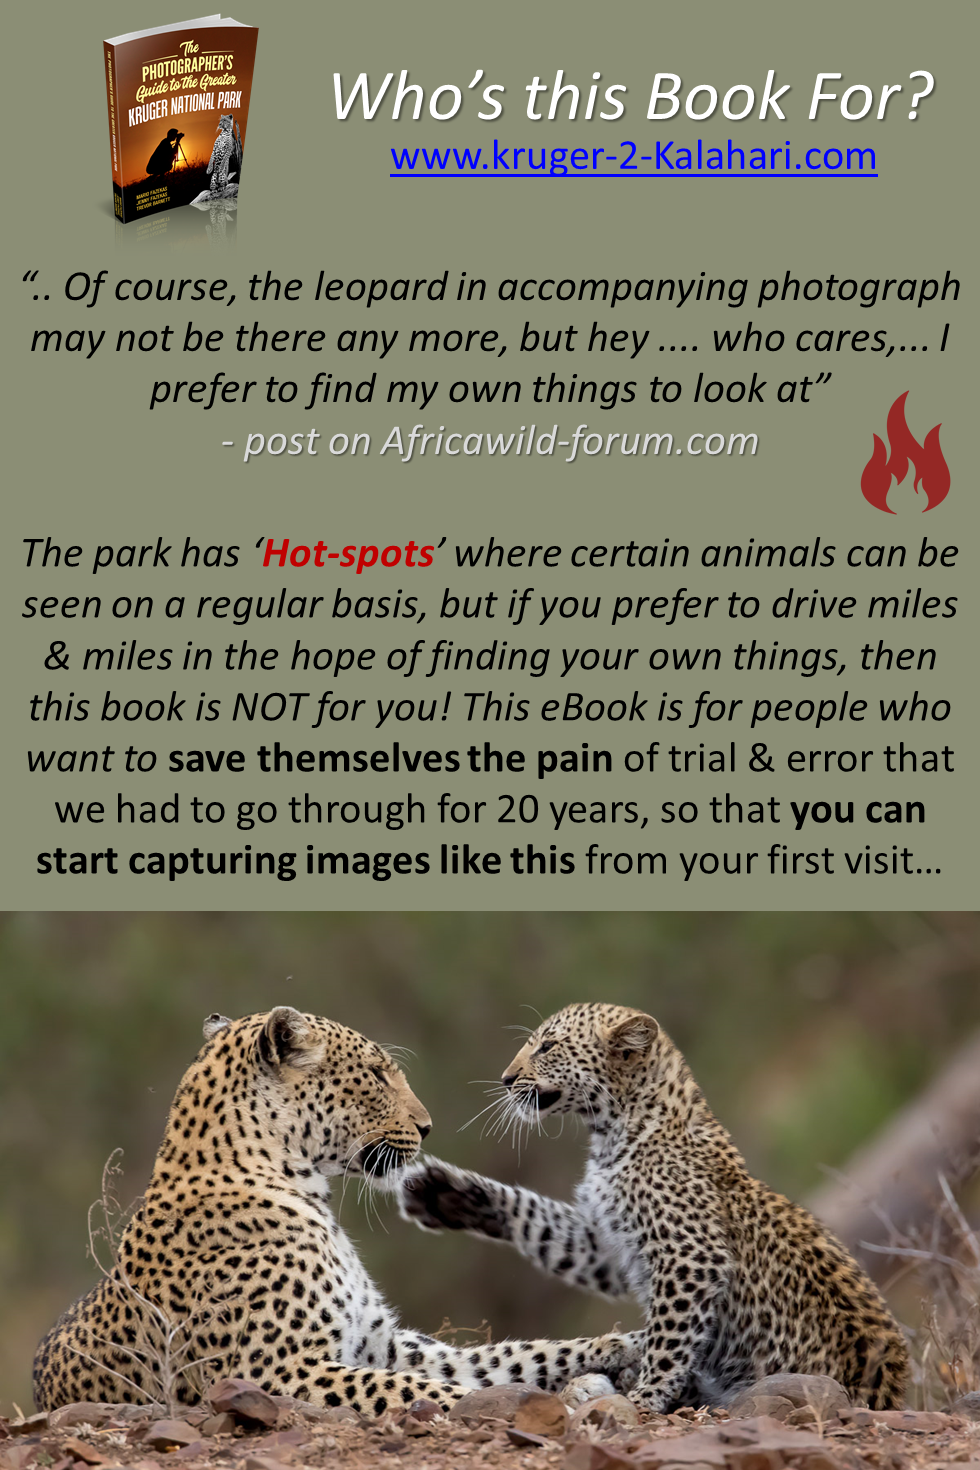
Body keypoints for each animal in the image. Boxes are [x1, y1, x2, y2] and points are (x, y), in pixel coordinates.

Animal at [33, 1007, 639, 1416]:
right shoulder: (274, 1371)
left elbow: (503, 1357)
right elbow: (425, 1389)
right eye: (376, 1074)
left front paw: (620, 1346)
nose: (427, 1127)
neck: (303, 1188)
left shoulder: (383, 1343)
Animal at [401, 1002, 909, 1412]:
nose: (506, 1079)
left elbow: (669, 1338)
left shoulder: (689, 1255)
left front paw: (646, 1396)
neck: (612, 1132)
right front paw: (446, 1194)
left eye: (548, 1046)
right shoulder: (608, 1243)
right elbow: (544, 1225)